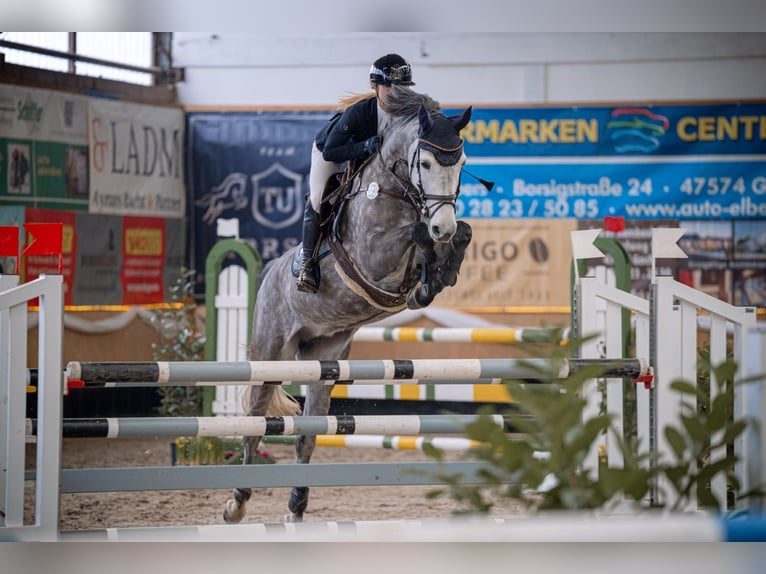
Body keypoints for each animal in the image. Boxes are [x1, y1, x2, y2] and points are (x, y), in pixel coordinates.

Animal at [223, 87, 474, 524]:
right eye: (425, 162)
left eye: (460, 163)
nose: (442, 224)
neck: (397, 188)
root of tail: (269, 271)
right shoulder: (374, 254)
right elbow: (414, 232)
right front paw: (429, 268)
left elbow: (462, 233)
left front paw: (440, 270)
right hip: (271, 355)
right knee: (255, 421)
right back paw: (236, 503)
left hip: (323, 362)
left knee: (306, 437)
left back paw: (296, 508)